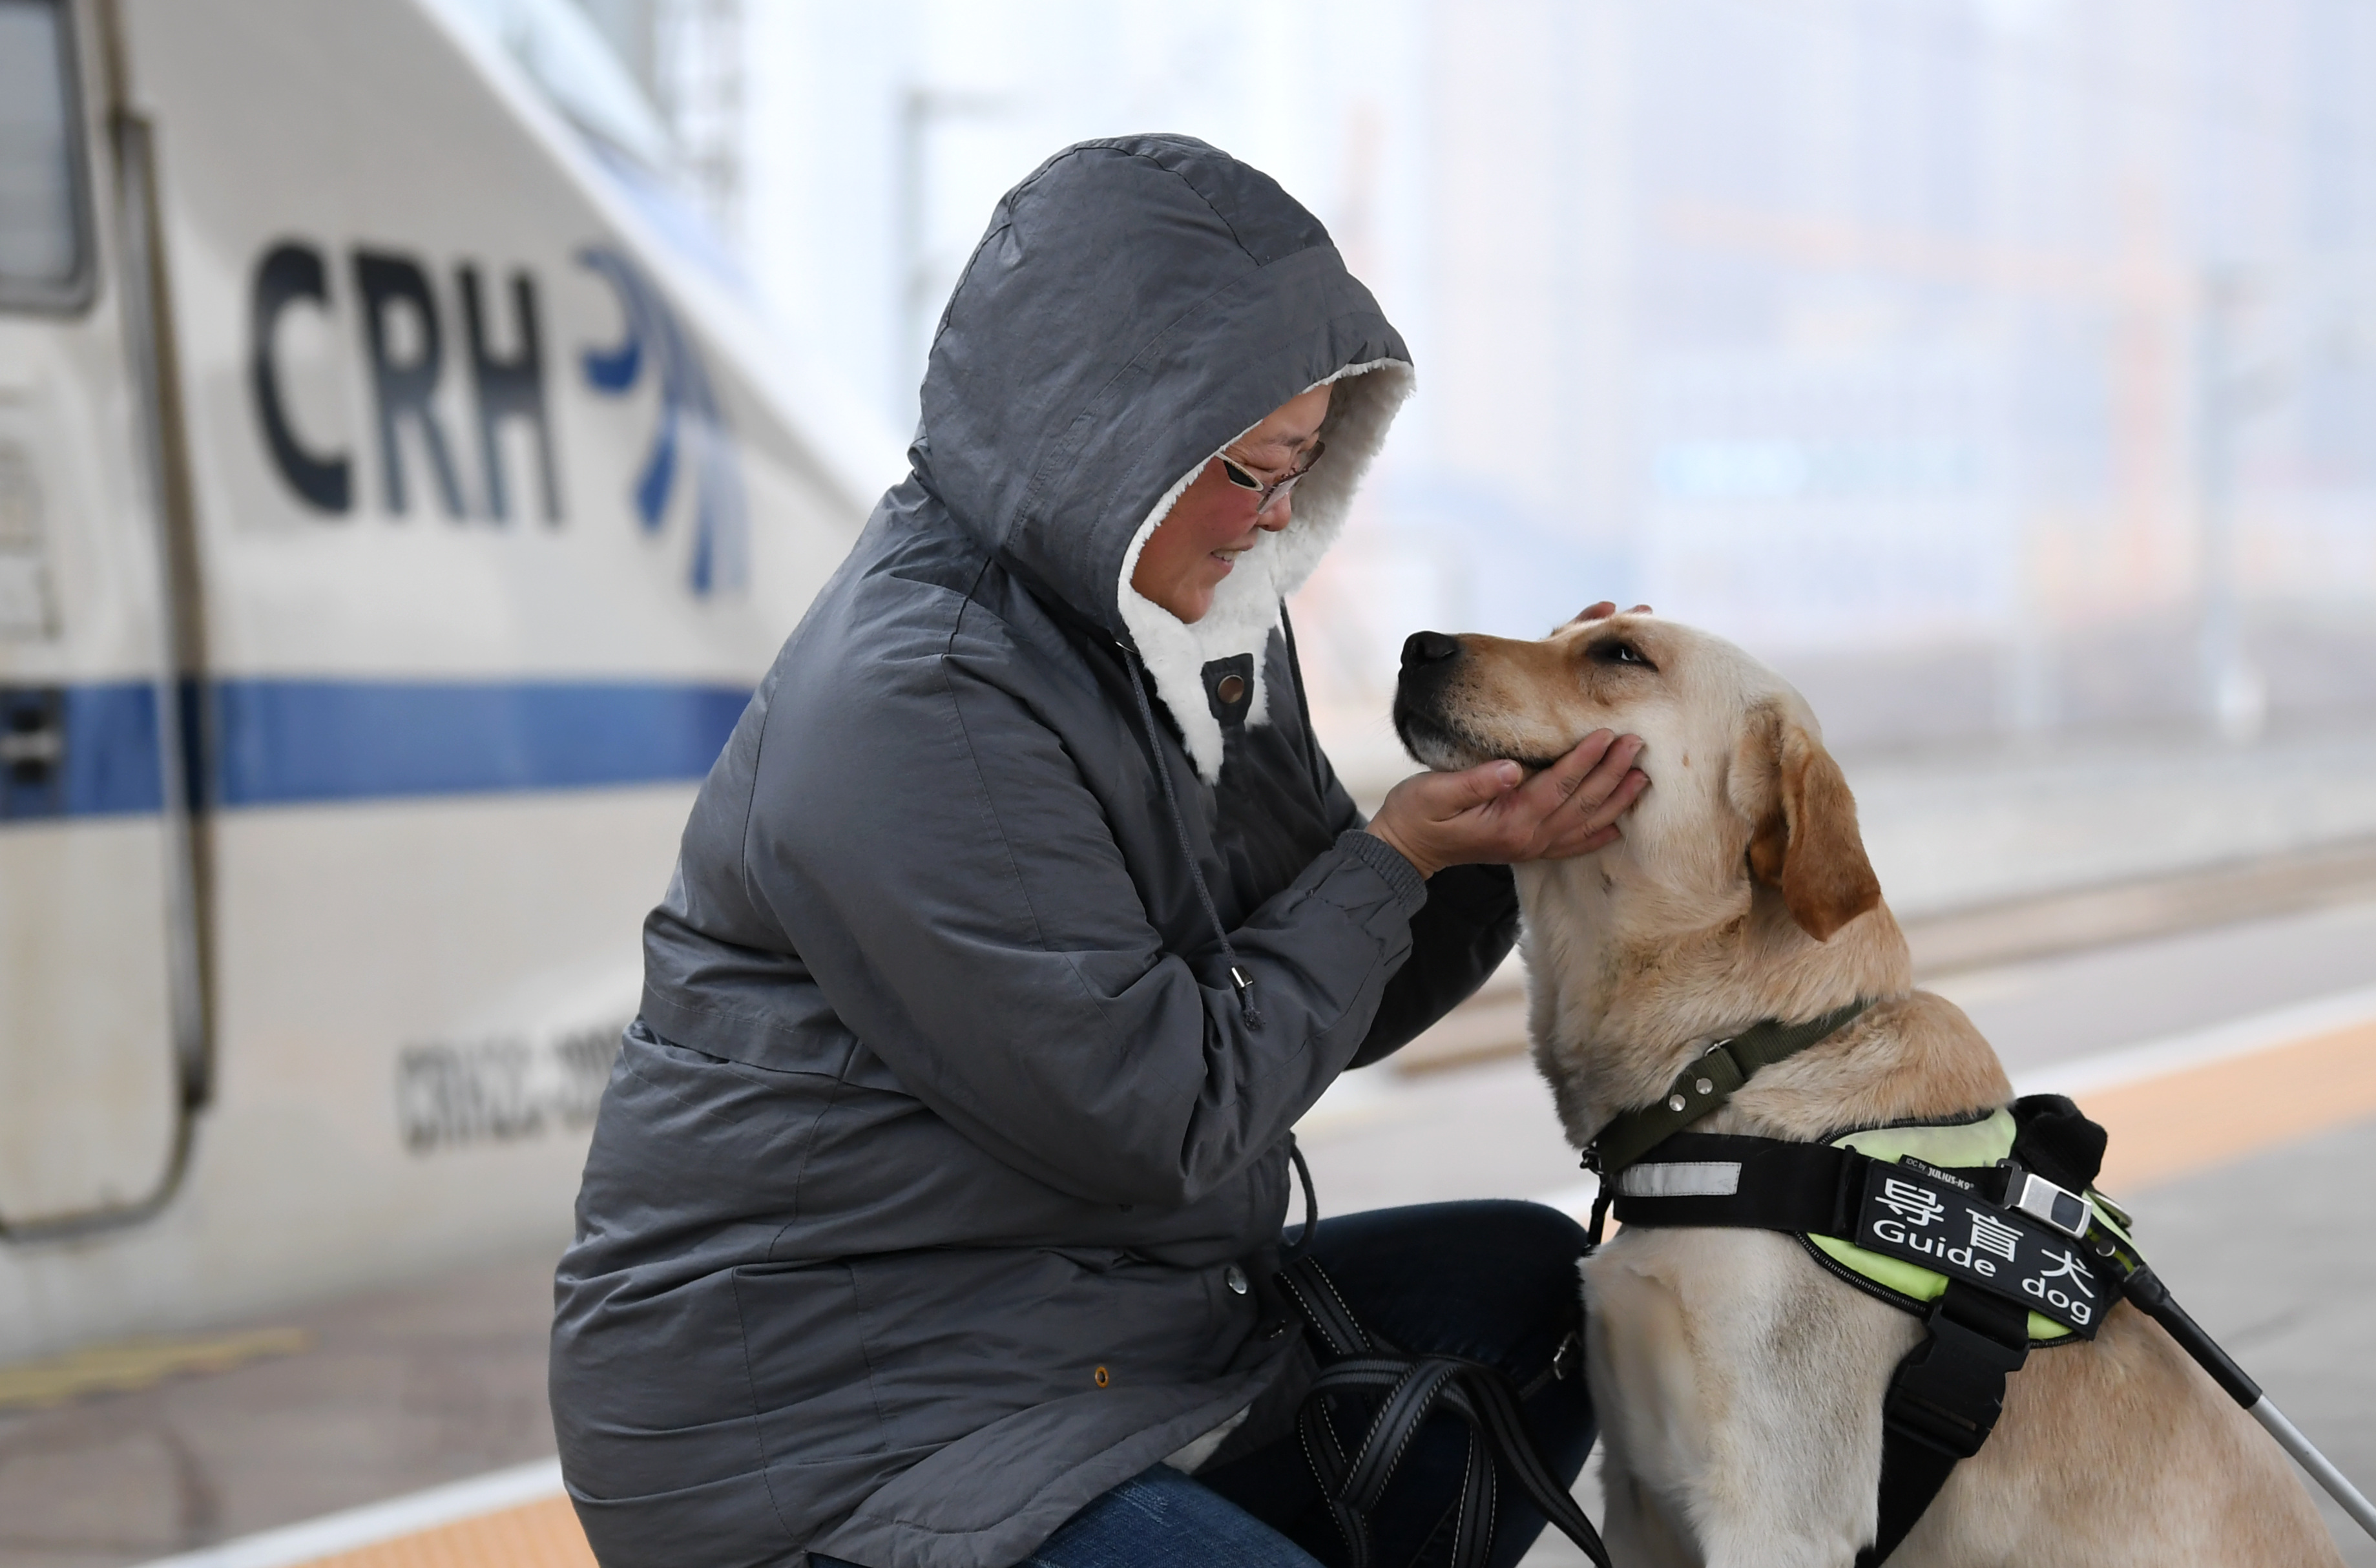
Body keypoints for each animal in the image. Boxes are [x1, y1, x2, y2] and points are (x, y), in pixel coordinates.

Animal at [1387, 608, 2338, 1568]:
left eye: (1620, 655)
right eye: (1565, 631)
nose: (1416, 646)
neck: (1736, 1056)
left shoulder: (1774, 1515)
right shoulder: (1638, 1506)